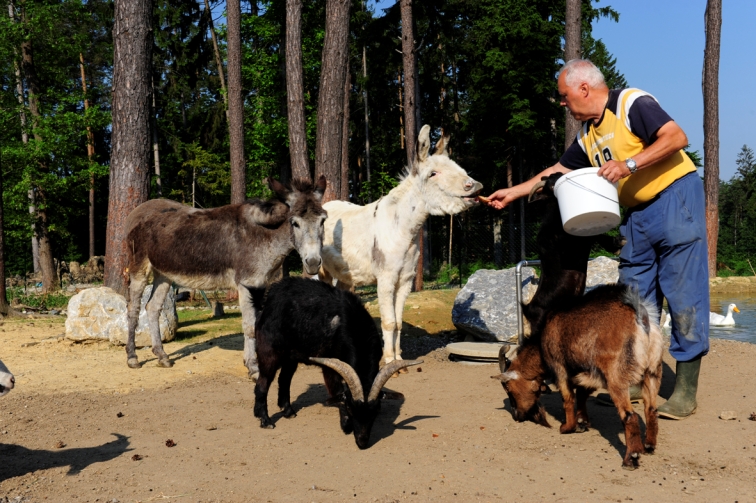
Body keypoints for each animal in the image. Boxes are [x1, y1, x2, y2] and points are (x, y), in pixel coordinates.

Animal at [252, 278, 420, 450]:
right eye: (350, 408)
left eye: (376, 411)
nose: (362, 442)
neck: (356, 327)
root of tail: (268, 299)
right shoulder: (330, 366)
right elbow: (337, 392)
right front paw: (346, 425)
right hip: (269, 351)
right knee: (263, 383)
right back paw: (265, 420)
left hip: (292, 356)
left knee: (284, 379)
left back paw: (288, 411)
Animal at [494, 286, 660, 470]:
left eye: (508, 388)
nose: (517, 416)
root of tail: (640, 318)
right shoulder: (587, 372)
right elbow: (581, 394)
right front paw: (582, 422)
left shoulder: (559, 367)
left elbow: (567, 398)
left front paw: (567, 427)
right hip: (652, 371)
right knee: (651, 409)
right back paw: (649, 446)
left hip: (616, 378)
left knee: (630, 416)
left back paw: (631, 458)